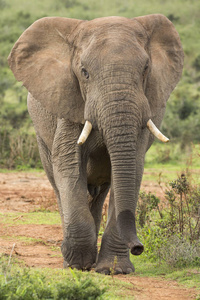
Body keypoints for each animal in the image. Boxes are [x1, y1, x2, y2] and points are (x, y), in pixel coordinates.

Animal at [7, 14, 184, 274]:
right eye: (84, 72)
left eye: (146, 69)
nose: (138, 247)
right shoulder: (69, 102)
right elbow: (69, 164)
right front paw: (77, 265)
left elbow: (132, 169)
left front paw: (113, 270)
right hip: (41, 136)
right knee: (59, 185)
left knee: (100, 193)